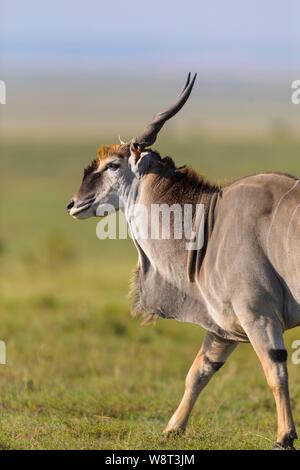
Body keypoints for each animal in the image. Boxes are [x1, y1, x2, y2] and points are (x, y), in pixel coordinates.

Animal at [68, 73, 300, 448]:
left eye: (113, 165)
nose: (74, 203)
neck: (210, 221)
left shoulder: (259, 316)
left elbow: (275, 372)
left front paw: (284, 436)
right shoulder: (225, 328)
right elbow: (199, 372)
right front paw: (172, 428)